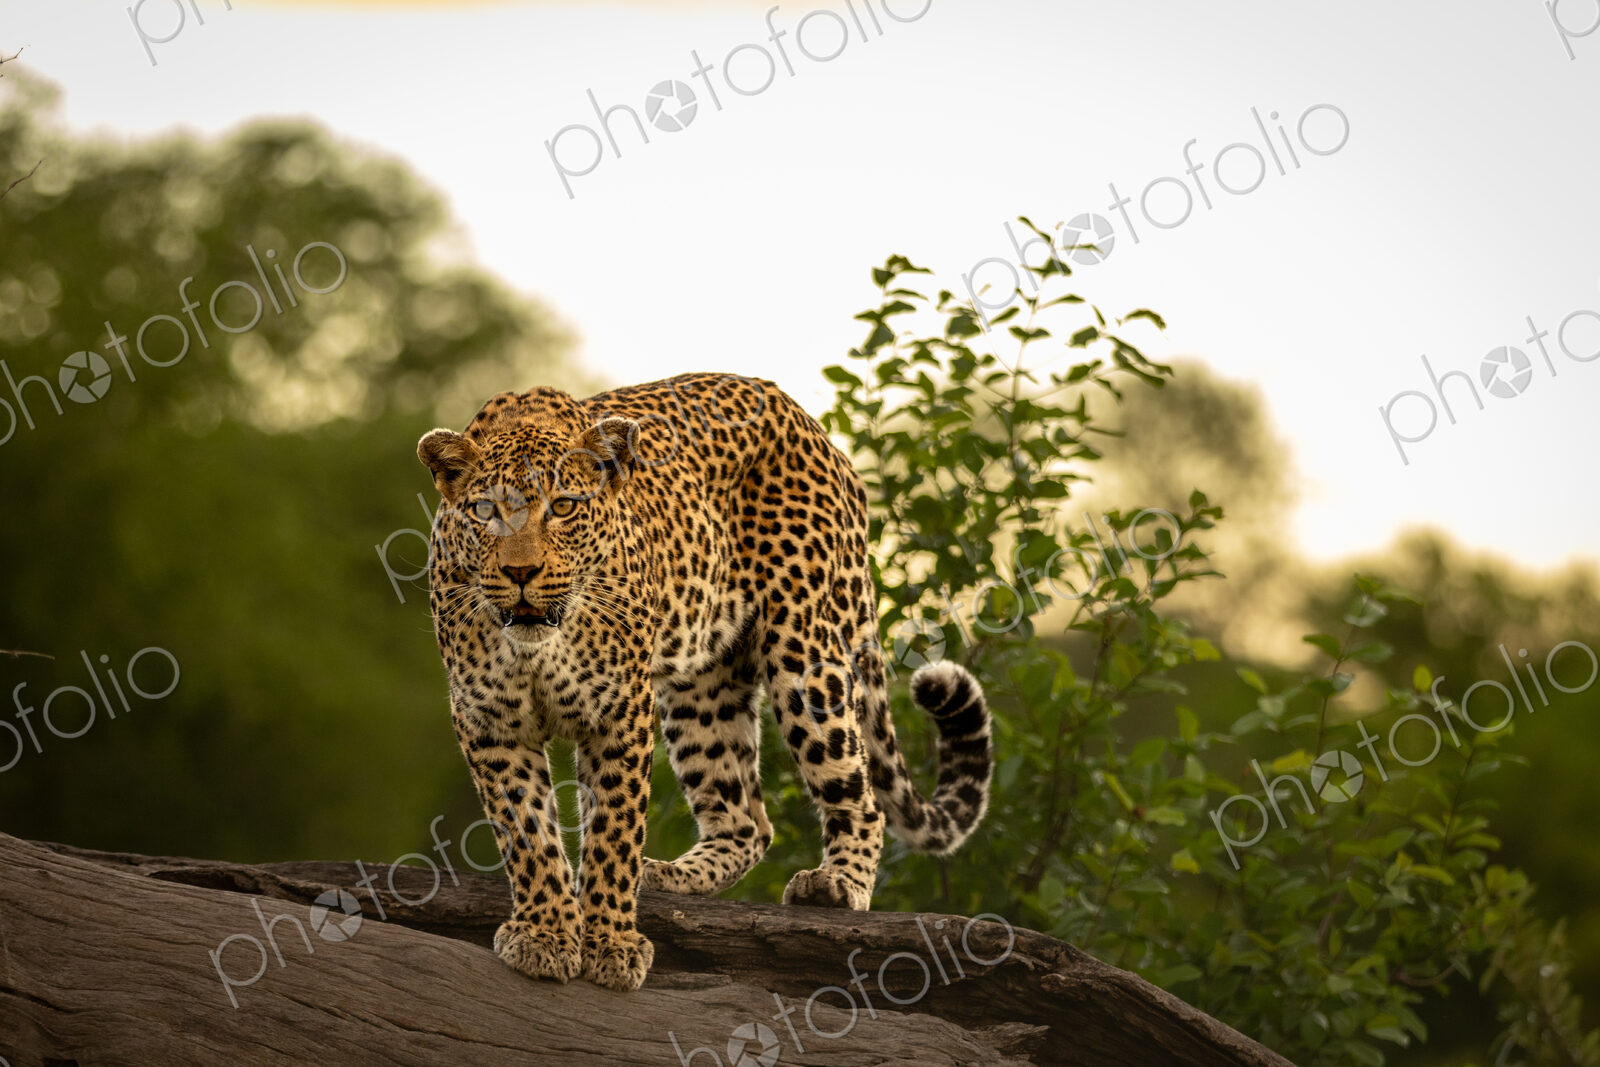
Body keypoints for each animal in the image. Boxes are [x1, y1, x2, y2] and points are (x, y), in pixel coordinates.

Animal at [416, 372, 993, 992]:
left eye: (564, 507)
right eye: (485, 511)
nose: (520, 573)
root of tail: (815, 430)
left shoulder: (620, 711)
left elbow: (613, 832)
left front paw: (610, 944)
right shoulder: (489, 721)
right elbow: (526, 834)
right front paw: (545, 934)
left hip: (807, 654)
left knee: (857, 794)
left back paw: (837, 883)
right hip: (703, 689)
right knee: (747, 821)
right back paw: (671, 874)